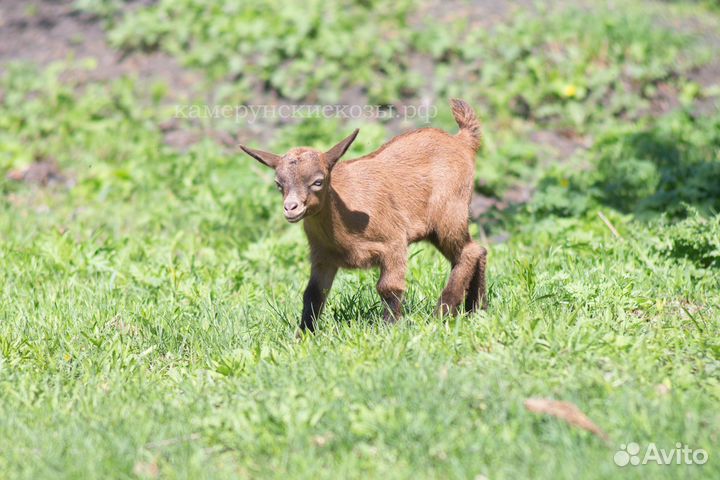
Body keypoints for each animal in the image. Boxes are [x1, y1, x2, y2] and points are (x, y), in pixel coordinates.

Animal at [239, 99, 486, 332]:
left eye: (318, 181)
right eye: (278, 184)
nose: (291, 208)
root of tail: (462, 141)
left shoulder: (393, 242)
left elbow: (389, 287)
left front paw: (390, 328)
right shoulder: (323, 257)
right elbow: (313, 294)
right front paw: (304, 335)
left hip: (449, 212)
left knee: (469, 252)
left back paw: (443, 312)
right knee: (475, 251)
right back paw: (477, 309)